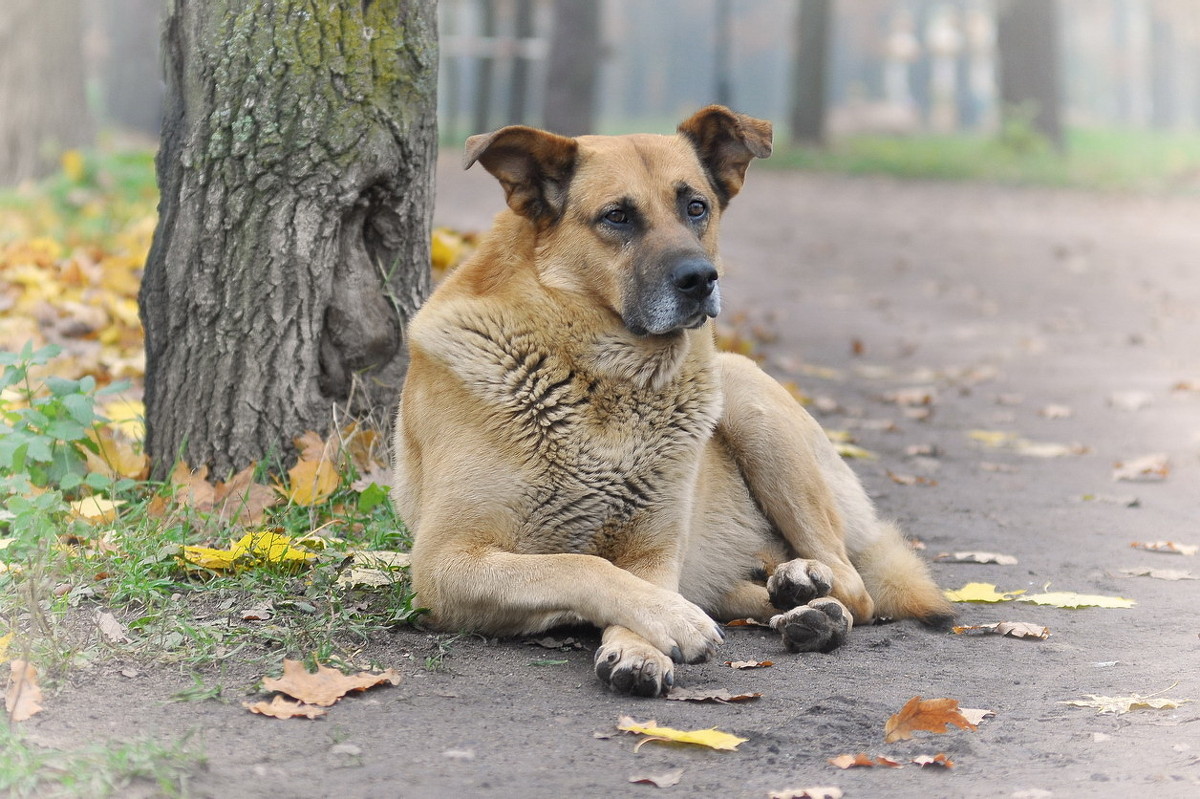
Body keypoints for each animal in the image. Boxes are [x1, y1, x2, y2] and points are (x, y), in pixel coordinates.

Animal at [393, 104, 955, 691]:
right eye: (617, 216)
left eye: (696, 207)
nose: (701, 278)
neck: (603, 379)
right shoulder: (445, 560)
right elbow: (580, 565)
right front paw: (670, 622)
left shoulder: (653, 551)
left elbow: (620, 575)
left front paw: (642, 646)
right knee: (751, 592)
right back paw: (801, 605)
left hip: (748, 401)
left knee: (854, 588)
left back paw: (806, 586)